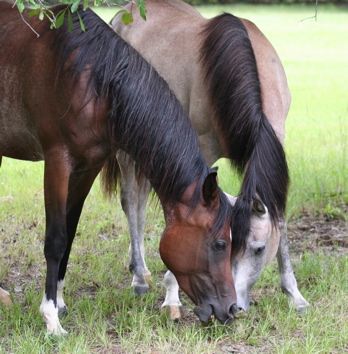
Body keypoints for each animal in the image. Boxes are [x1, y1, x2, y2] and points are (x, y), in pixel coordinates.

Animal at [0, 2, 237, 334]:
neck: (93, 79)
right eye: (219, 243)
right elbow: (56, 239)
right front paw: (51, 319)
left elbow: (69, 234)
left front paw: (59, 302)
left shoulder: (88, 167)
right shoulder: (58, 162)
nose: (232, 308)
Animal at [110, 0, 308, 312]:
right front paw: (172, 295)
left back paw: (138, 267)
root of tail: (124, 14)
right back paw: (140, 278)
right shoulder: (199, 151)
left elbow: (281, 222)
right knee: (130, 200)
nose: (236, 306)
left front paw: (294, 294)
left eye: (259, 249)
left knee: (139, 203)